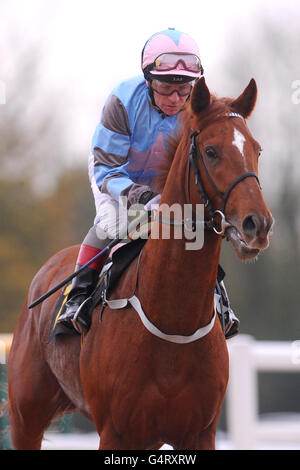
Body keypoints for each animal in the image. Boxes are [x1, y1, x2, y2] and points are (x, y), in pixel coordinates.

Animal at [6, 77, 274, 448]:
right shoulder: (116, 433)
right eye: (211, 151)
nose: (257, 224)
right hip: (26, 415)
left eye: (256, 150)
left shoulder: (198, 432)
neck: (174, 321)